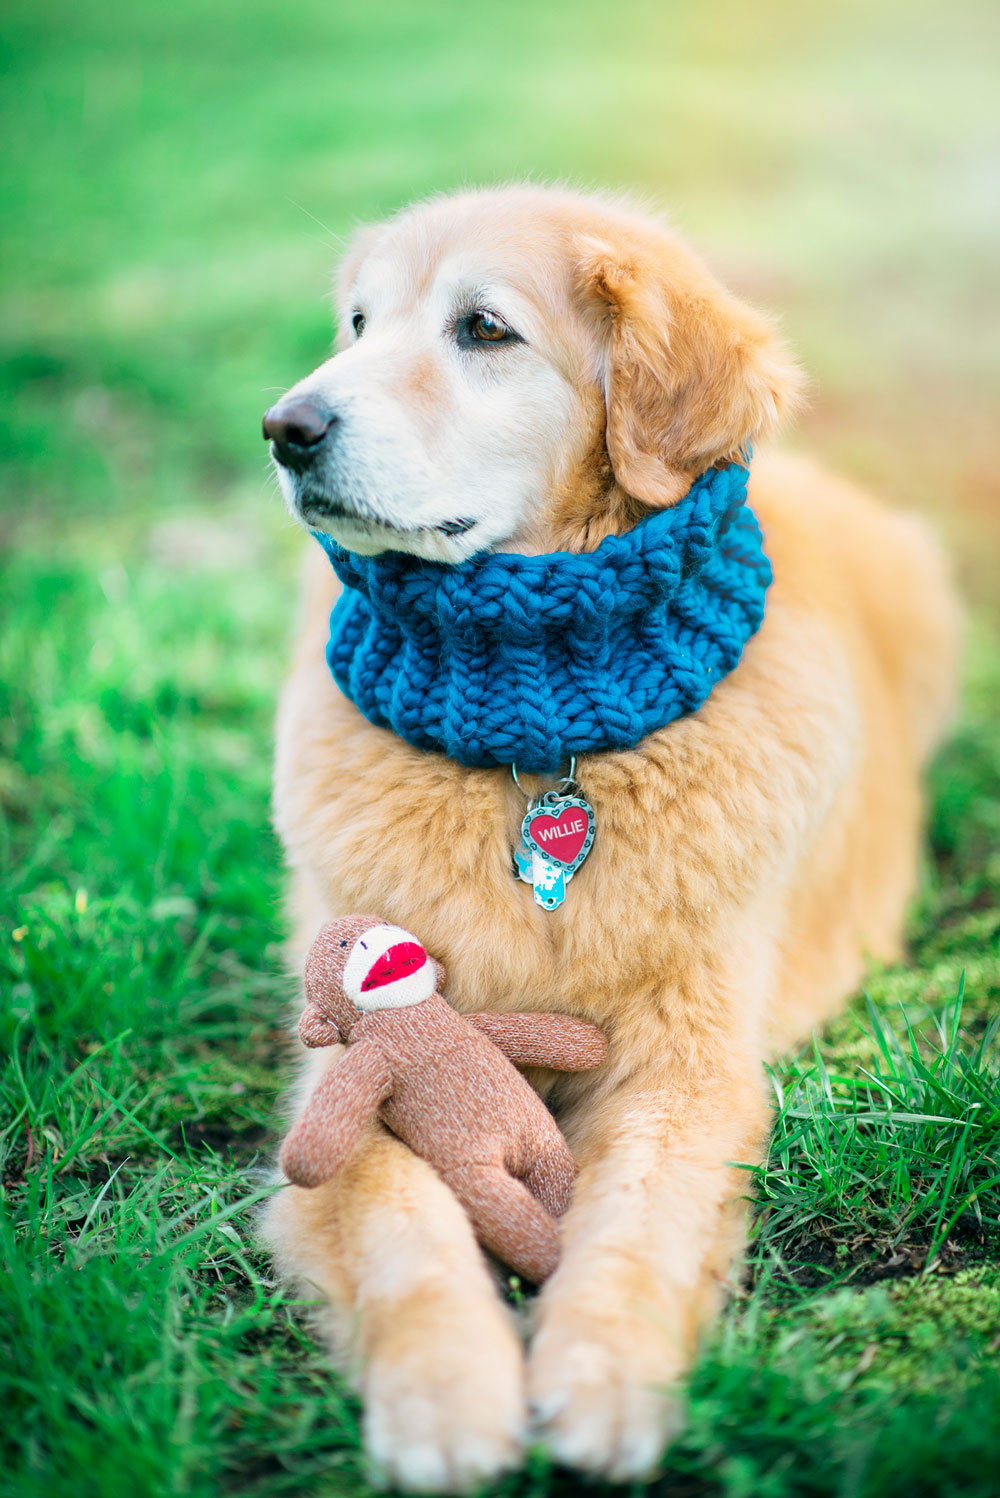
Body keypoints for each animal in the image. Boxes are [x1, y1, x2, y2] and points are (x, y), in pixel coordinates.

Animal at [260, 184, 958, 1486]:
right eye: (358, 323)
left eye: (483, 328)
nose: (286, 426)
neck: (541, 733)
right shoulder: (343, 1070)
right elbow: (397, 1227)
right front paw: (446, 1395)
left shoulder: (686, 1068)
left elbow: (638, 1224)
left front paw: (602, 1376)